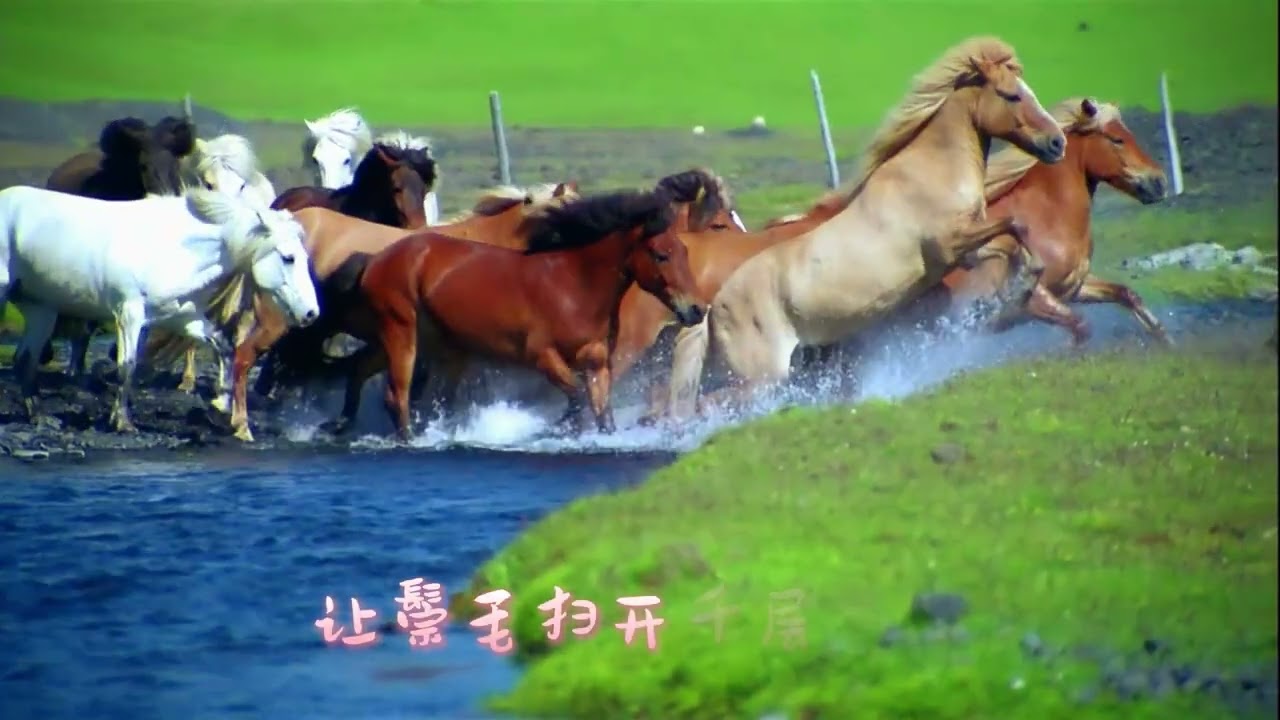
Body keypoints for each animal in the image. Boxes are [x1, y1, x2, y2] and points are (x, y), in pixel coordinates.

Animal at [0, 186, 320, 432]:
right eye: (288, 258)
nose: (311, 313)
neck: (174, 247)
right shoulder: (128, 314)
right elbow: (127, 366)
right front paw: (123, 422)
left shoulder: (184, 317)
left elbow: (225, 347)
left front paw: (219, 406)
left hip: (40, 308)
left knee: (24, 359)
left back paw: (38, 416)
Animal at [321, 186, 707, 441]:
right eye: (660, 254)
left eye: (685, 251)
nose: (696, 310)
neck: (573, 285)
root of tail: (376, 259)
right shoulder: (542, 356)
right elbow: (576, 398)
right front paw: (555, 427)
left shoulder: (597, 362)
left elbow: (602, 413)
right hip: (401, 333)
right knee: (396, 397)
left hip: (408, 339)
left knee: (359, 371)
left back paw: (339, 424)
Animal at [664, 36, 1066, 419]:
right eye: (1011, 94)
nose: (1057, 142)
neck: (932, 172)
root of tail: (713, 308)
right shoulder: (951, 243)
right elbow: (1015, 225)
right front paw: (1024, 284)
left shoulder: (965, 251)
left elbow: (1009, 240)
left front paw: (1025, 286)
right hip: (762, 378)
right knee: (706, 404)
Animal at [916, 96, 1171, 345]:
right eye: (1117, 139)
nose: (1160, 182)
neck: (1047, 217)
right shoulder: (1030, 300)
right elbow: (1080, 325)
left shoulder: (1075, 287)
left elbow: (1127, 295)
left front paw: (1165, 340)